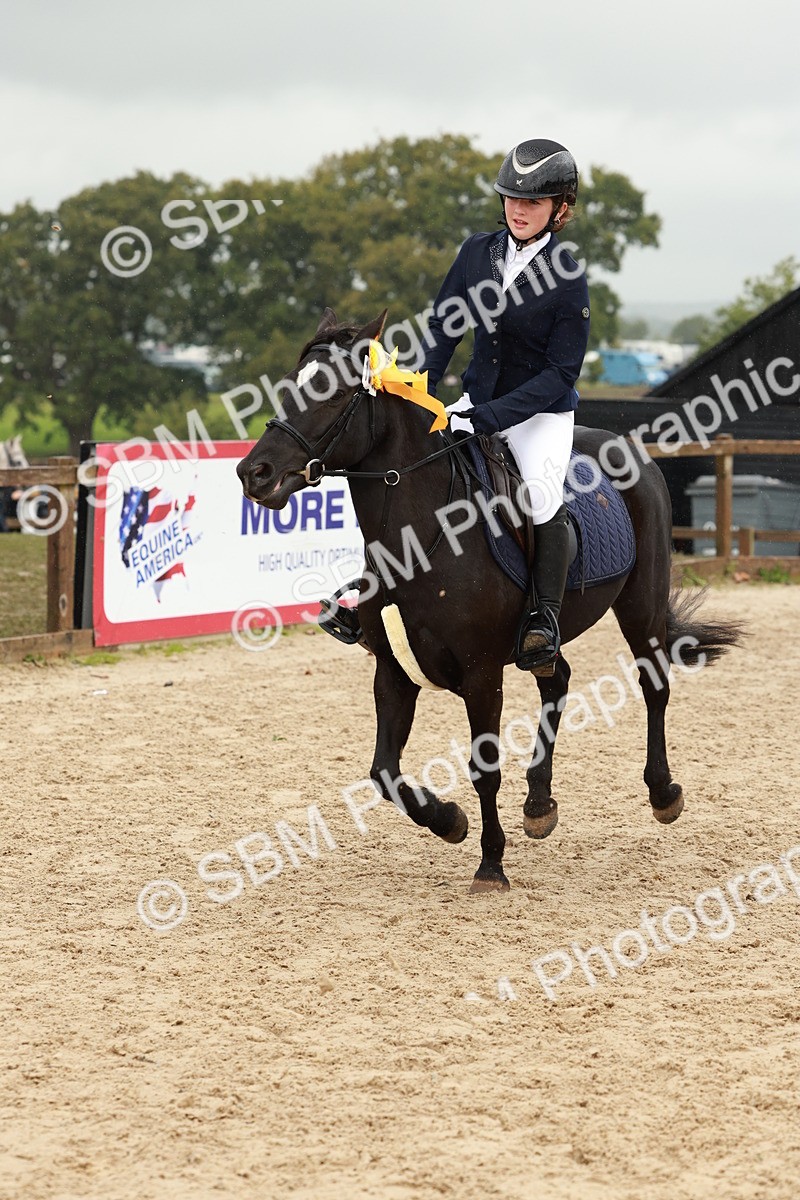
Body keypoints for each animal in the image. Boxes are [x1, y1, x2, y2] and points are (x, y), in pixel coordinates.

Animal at [237, 308, 743, 893]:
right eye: (285, 389)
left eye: (335, 395)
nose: (253, 473)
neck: (421, 537)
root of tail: (633, 450)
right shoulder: (392, 670)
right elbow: (384, 771)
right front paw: (449, 821)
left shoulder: (481, 674)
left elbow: (484, 770)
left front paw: (490, 865)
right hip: (544, 637)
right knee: (557, 679)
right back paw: (539, 803)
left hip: (642, 606)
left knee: (653, 684)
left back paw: (663, 793)